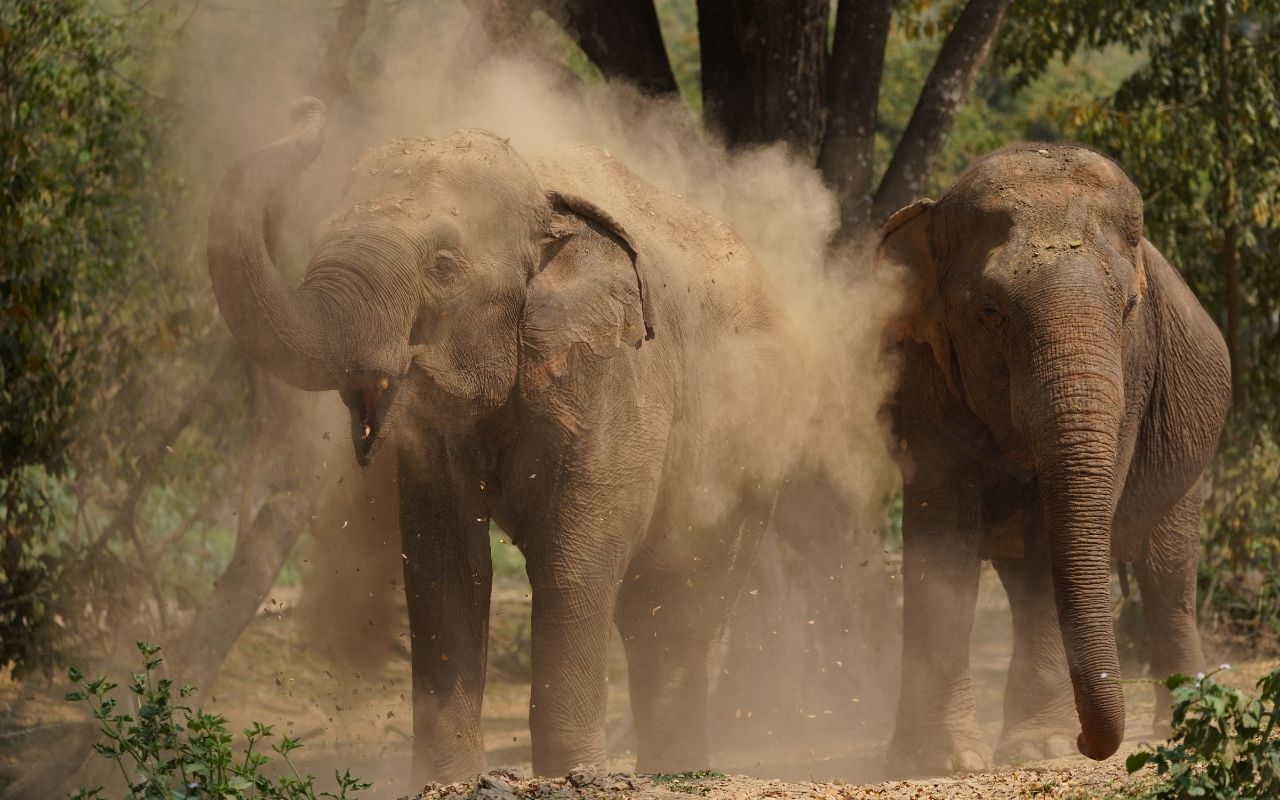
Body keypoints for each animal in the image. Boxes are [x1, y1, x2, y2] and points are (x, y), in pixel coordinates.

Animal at [207, 97, 795, 783]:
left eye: (442, 266)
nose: (306, 106)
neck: (544, 198)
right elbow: (444, 560)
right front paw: (446, 780)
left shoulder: (626, 371)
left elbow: (577, 557)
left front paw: (571, 777)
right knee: (655, 607)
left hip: (755, 458)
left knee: (685, 604)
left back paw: (677, 773)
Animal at [876, 144, 1231, 774]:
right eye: (990, 312)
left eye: (1130, 307)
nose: (1092, 744)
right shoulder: (927, 371)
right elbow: (940, 527)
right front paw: (938, 760)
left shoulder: (1134, 375)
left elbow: (1051, 535)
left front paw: (1042, 749)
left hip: (1190, 464)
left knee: (1167, 575)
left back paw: (1179, 729)